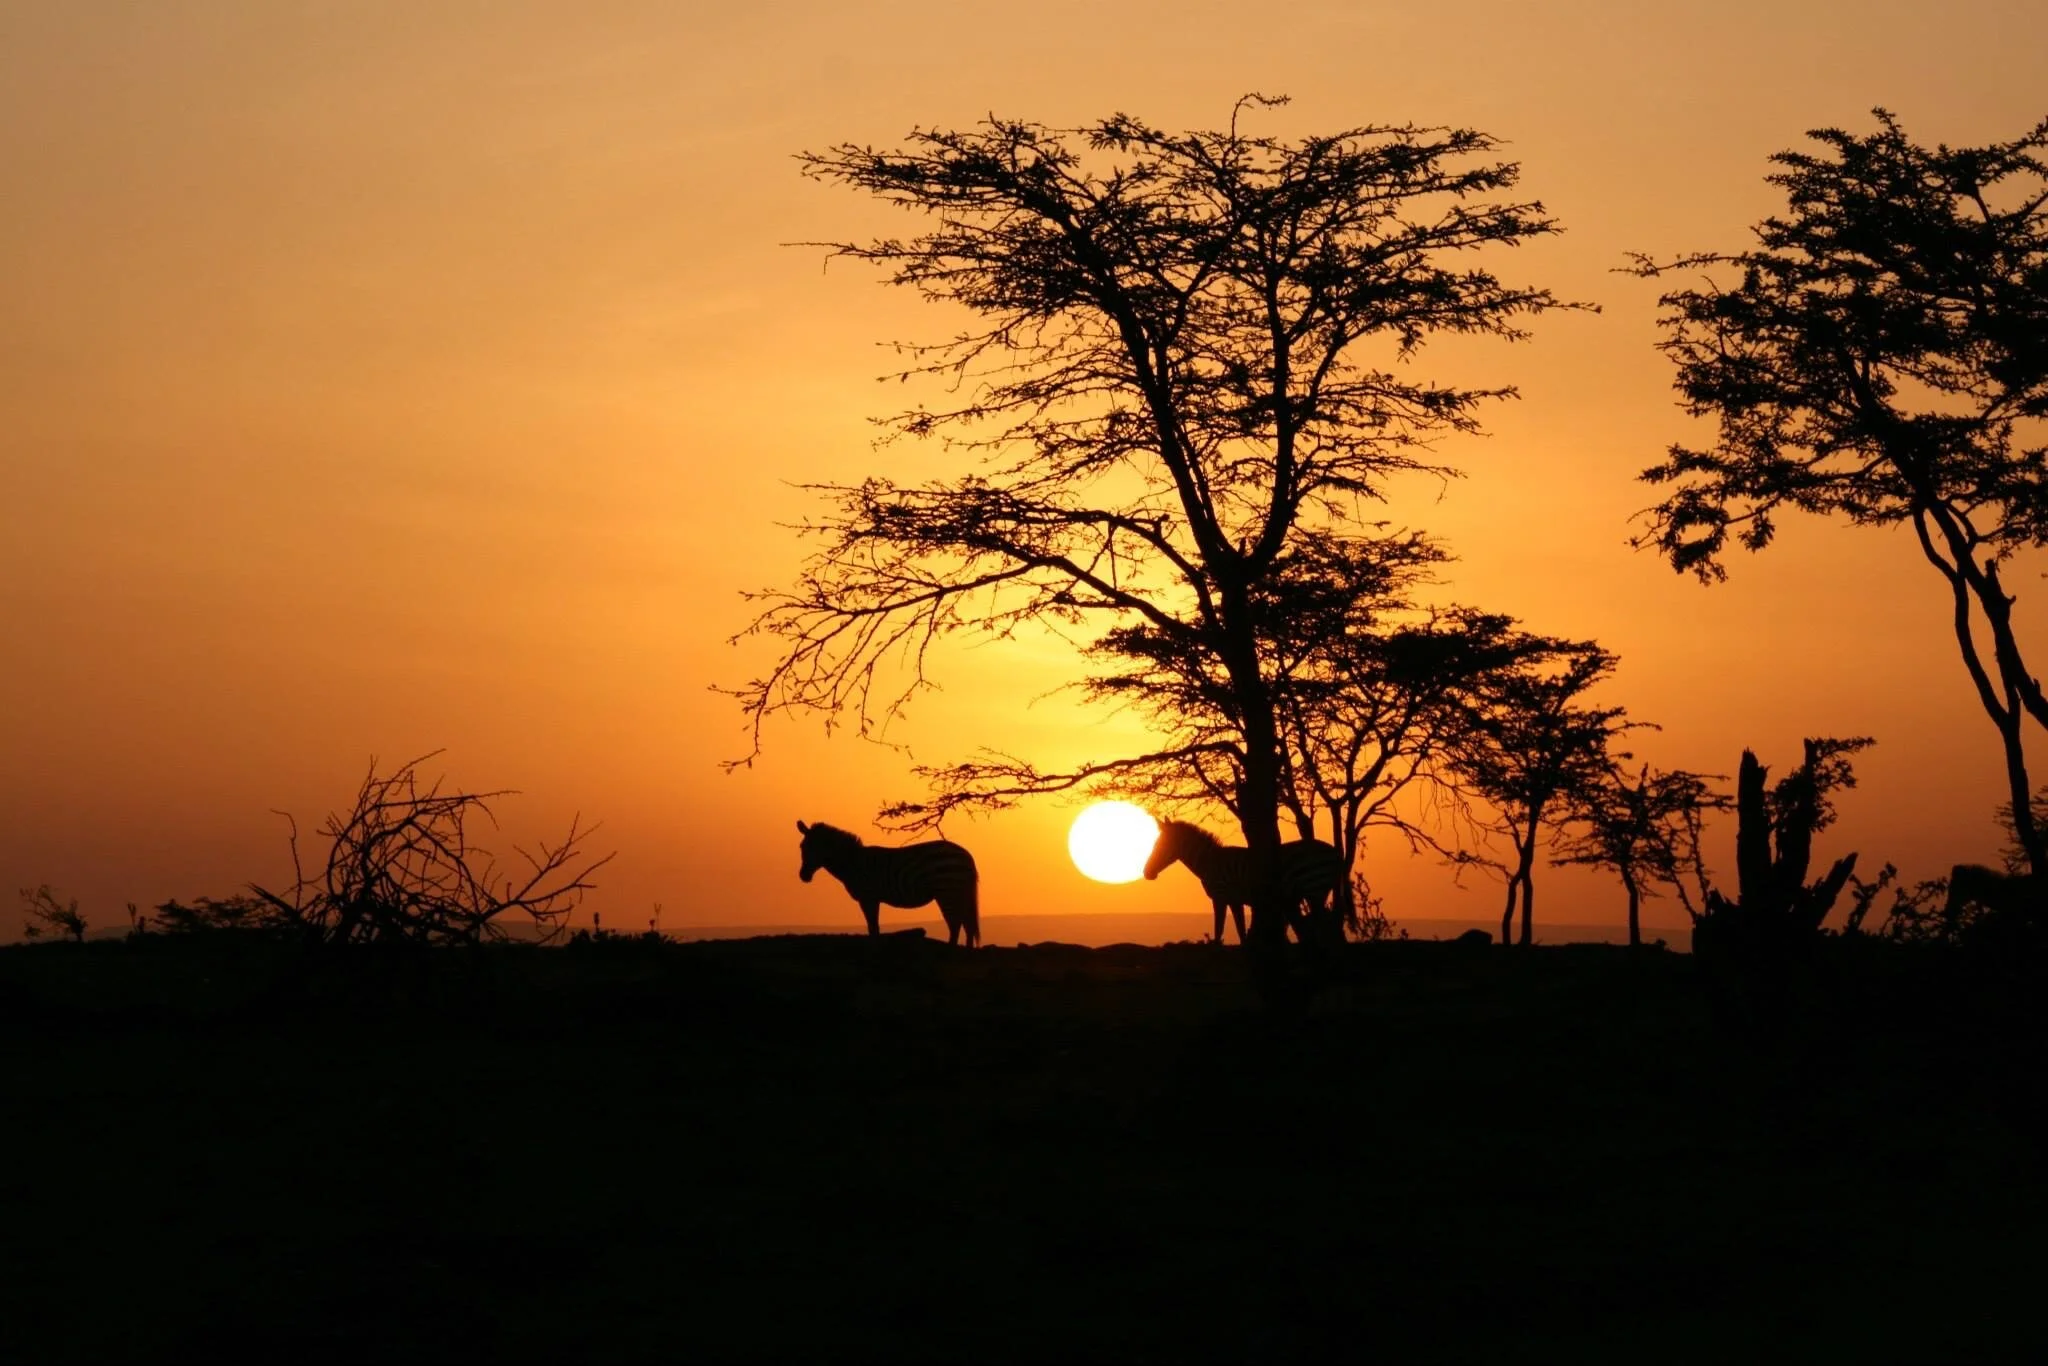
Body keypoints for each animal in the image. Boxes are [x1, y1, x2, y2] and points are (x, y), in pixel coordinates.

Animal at [796, 820, 981, 947]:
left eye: (811, 848)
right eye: (802, 847)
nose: (803, 876)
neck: (853, 862)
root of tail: (967, 855)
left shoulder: (868, 897)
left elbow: (872, 927)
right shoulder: (873, 898)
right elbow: (874, 927)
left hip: (947, 890)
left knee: (955, 924)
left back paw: (951, 951)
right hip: (959, 892)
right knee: (967, 924)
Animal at [1142, 818, 1345, 945]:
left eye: (1159, 845)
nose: (1146, 873)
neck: (1210, 862)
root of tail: (1335, 852)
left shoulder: (1221, 896)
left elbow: (1219, 928)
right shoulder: (1235, 899)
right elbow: (1240, 930)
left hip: (1314, 888)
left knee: (1321, 925)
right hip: (1317, 890)